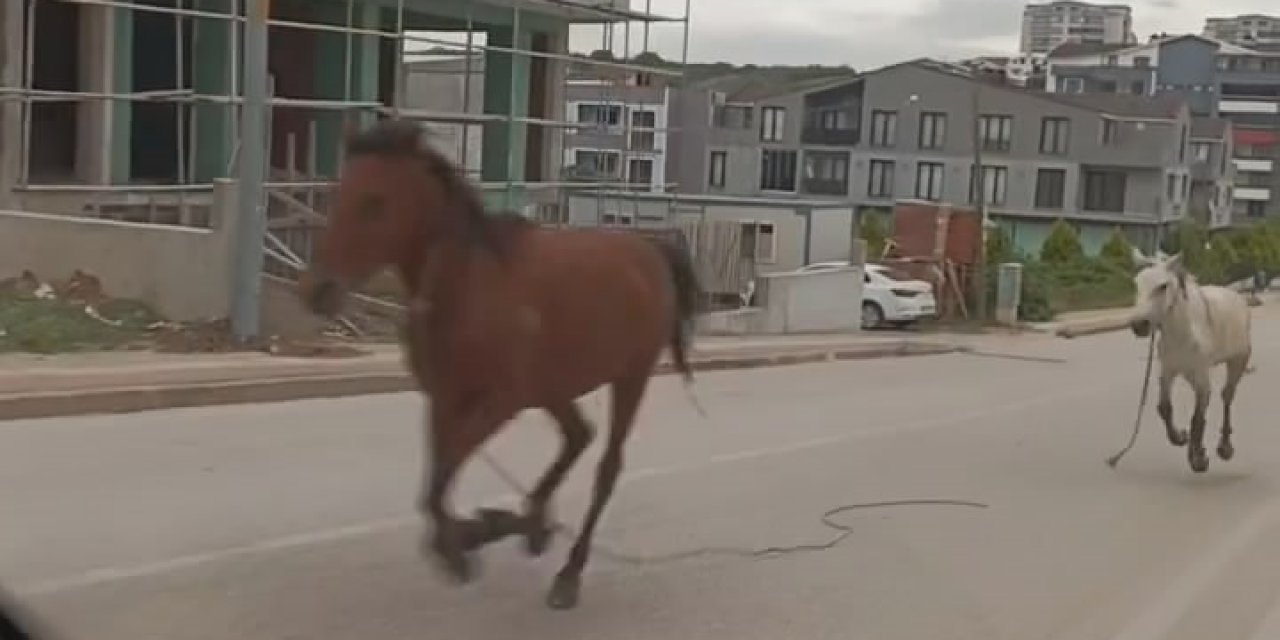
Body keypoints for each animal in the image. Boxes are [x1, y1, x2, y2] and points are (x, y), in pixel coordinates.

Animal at [296, 120, 701, 609]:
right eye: (341, 193)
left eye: (375, 202)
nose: (316, 290)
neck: (468, 285)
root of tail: (651, 250)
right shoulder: (445, 398)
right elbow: (437, 481)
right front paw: (475, 533)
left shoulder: (500, 401)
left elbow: (440, 484)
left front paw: (463, 545)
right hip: (554, 385)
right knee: (578, 436)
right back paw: (532, 524)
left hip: (630, 377)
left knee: (606, 468)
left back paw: (567, 573)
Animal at [1131, 248, 1249, 471]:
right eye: (1136, 284)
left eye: (1163, 286)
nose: (1139, 325)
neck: (1183, 334)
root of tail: (1234, 294)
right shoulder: (1168, 371)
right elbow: (1164, 408)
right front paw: (1179, 438)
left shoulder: (1202, 375)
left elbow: (1197, 417)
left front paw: (1198, 459)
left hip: (1239, 361)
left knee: (1227, 396)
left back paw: (1225, 447)